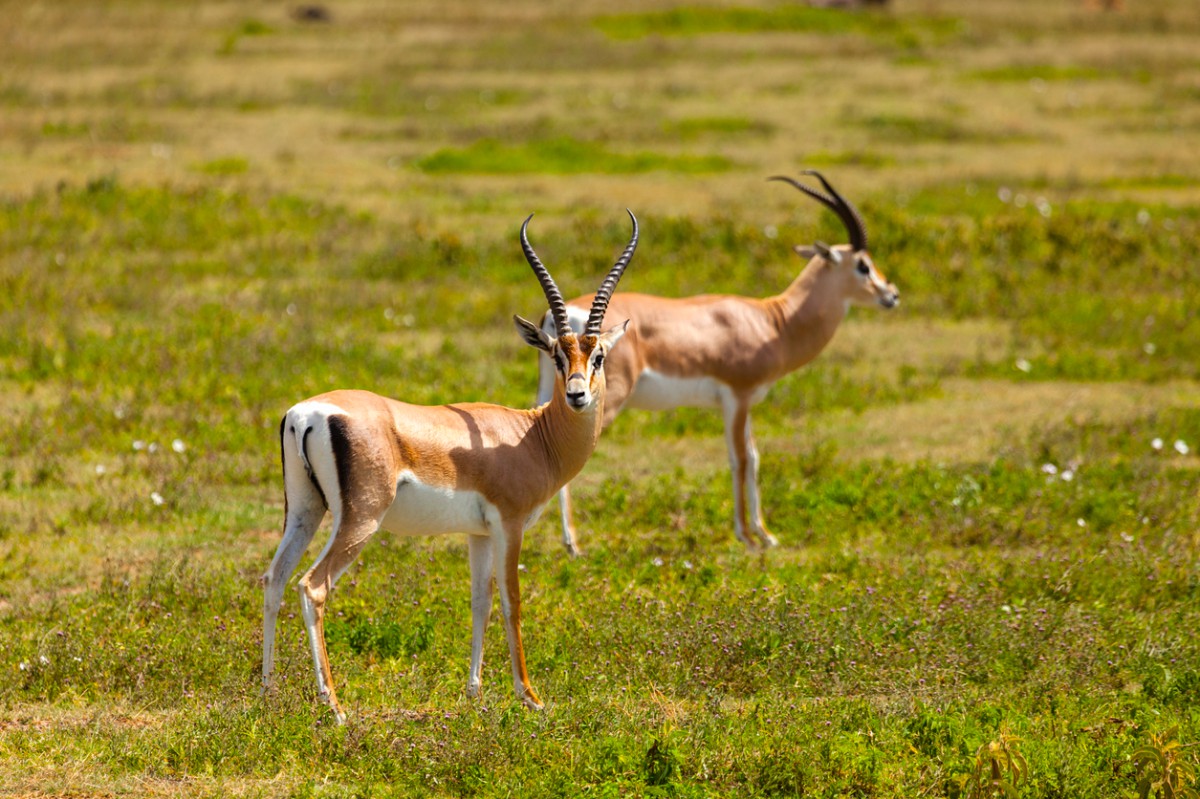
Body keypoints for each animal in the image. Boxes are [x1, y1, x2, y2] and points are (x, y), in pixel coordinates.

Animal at [259, 208, 643, 719]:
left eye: (597, 355)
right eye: (557, 355)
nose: (578, 395)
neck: (533, 437)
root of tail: (307, 413)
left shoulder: (477, 534)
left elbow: (480, 601)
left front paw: (474, 693)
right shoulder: (509, 525)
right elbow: (512, 600)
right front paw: (531, 697)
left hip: (305, 511)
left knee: (274, 579)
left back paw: (267, 693)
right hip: (359, 520)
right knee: (312, 586)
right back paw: (335, 708)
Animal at [537, 169, 902, 554]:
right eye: (863, 265)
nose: (892, 294)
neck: (772, 321)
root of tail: (561, 318)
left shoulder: (747, 401)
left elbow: (753, 458)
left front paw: (766, 534)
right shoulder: (737, 397)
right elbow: (739, 458)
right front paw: (746, 536)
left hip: (552, 392)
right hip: (600, 400)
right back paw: (574, 544)